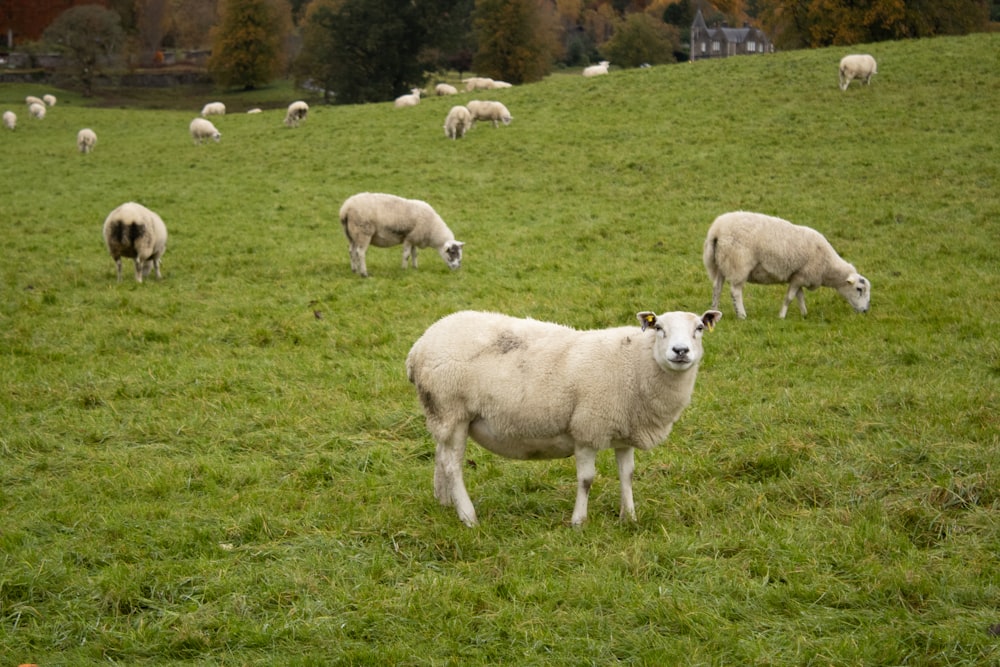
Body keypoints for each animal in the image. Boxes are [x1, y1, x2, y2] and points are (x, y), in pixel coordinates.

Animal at [402, 310, 724, 528]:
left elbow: (627, 475)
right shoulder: (587, 429)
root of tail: (418, 347)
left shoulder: (624, 431)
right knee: (452, 465)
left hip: (442, 415)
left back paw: (445, 503)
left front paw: (629, 517)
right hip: (451, 409)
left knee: (441, 456)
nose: (680, 351)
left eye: (699, 328)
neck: (635, 364)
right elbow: (586, 480)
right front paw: (579, 521)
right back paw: (468, 516)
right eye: (658, 327)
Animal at [700, 213, 872, 320]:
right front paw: (782, 316)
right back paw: (742, 315)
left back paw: (714, 310)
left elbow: (800, 297)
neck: (827, 266)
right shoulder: (800, 276)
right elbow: (789, 297)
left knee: (717, 288)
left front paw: (804, 314)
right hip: (738, 264)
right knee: (736, 291)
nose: (865, 311)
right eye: (859, 289)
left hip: (721, 263)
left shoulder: (799, 276)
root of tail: (716, 231)